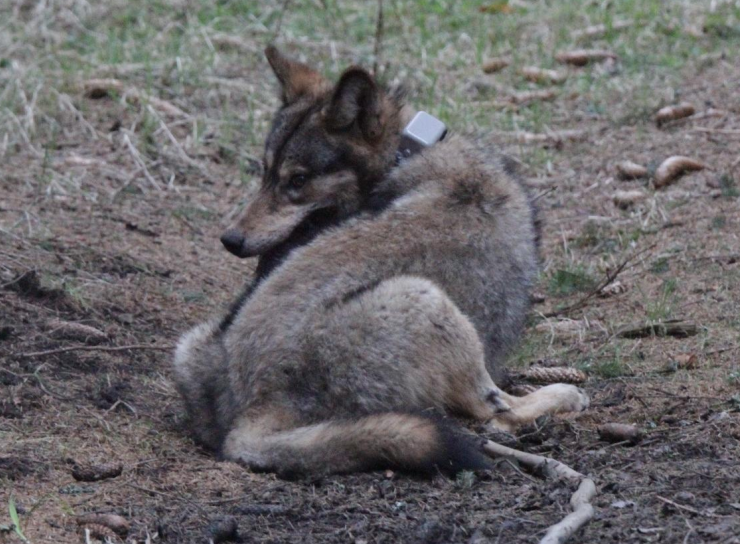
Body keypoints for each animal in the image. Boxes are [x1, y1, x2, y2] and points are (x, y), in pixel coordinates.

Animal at [173, 46, 588, 477]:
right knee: (496, 411)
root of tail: (256, 409)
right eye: (268, 173)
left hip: (188, 346)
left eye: (296, 180)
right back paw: (561, 395)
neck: (408, 154)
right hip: (423, 298)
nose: (230, 240)